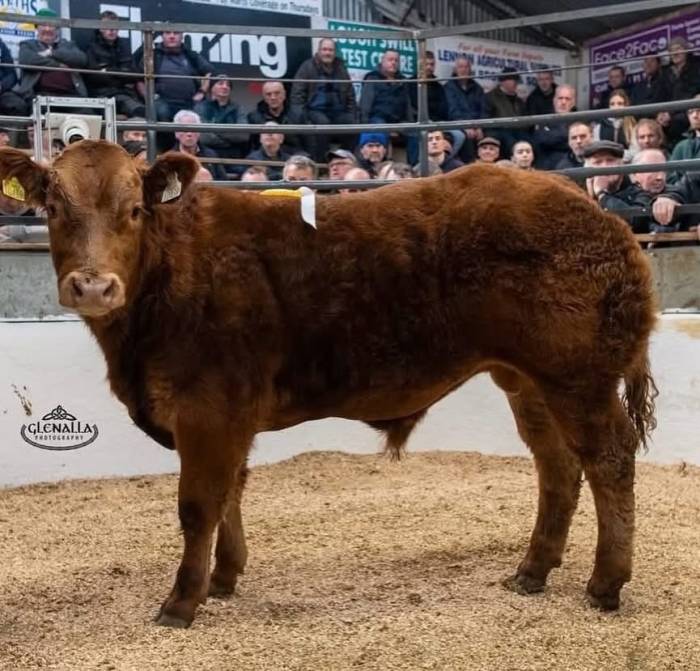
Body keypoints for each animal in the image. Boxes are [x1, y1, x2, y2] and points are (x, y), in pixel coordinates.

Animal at [0, 140, 657, 628]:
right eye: (52, 209)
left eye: (135, 210)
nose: (93, 285)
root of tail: (594, 210)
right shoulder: (229, 415)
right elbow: (232, 492)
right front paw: (224, 578)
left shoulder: (208, 408)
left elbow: (198, 503)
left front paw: (181, 601)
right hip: (526, 381)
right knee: (557, 465)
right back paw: (533, 570)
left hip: (578, 377)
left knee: (609, 458)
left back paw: (605, 583)